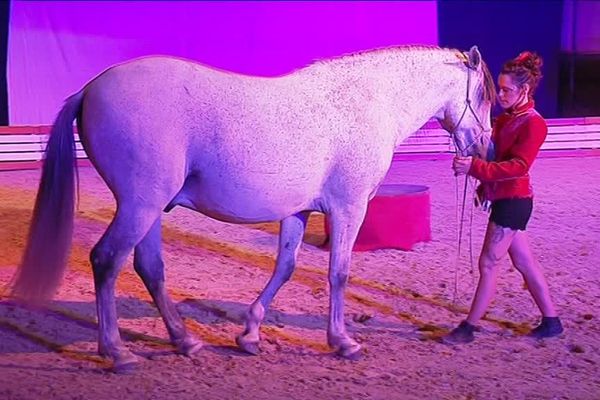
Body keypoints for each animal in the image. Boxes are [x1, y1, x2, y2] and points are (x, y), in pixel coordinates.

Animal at [11, 44, 494, 372]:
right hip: (139, 204)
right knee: (107, 260)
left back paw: (185, 341)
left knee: (149, 267)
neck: (363, 102)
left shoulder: (298, 211)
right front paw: (343, 342)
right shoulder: (349, 207)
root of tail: (91, 87)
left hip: (148, 209)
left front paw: (250, 333)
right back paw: (118, 352)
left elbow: (285, 267)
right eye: (484, 97)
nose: (483, 147)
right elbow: (338, 273)